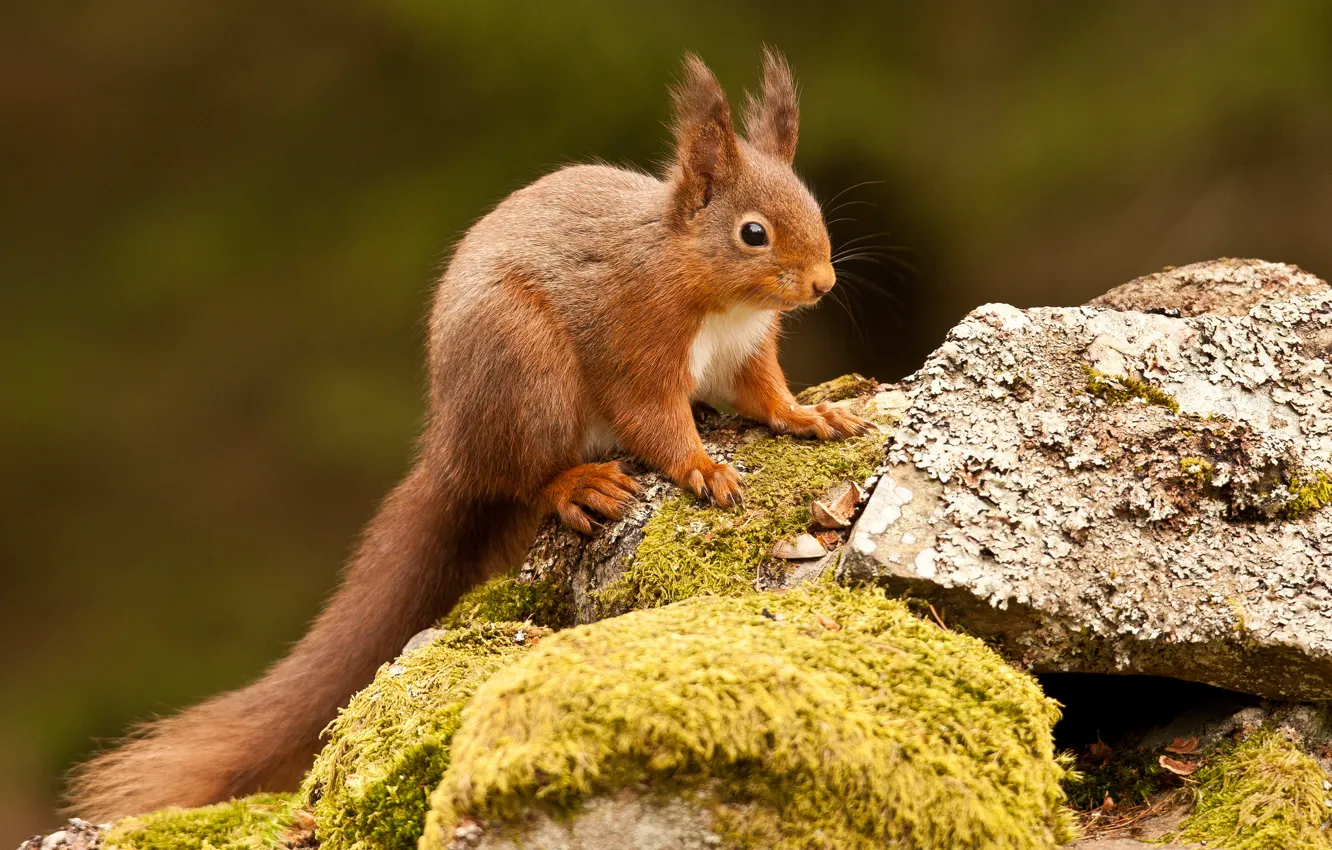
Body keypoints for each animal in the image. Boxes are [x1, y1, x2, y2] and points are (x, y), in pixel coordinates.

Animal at [70, 51, 863, 820]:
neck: (706, 288)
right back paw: (577, 484)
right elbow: (652, 420)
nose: (822, 283)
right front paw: (703, 466)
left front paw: (811, 416)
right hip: (525, 371)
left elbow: (764, 395)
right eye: (753, 233)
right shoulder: (634, 343)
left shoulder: (744, 353)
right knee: (525, 477)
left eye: (813, 208)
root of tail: (451, 450)